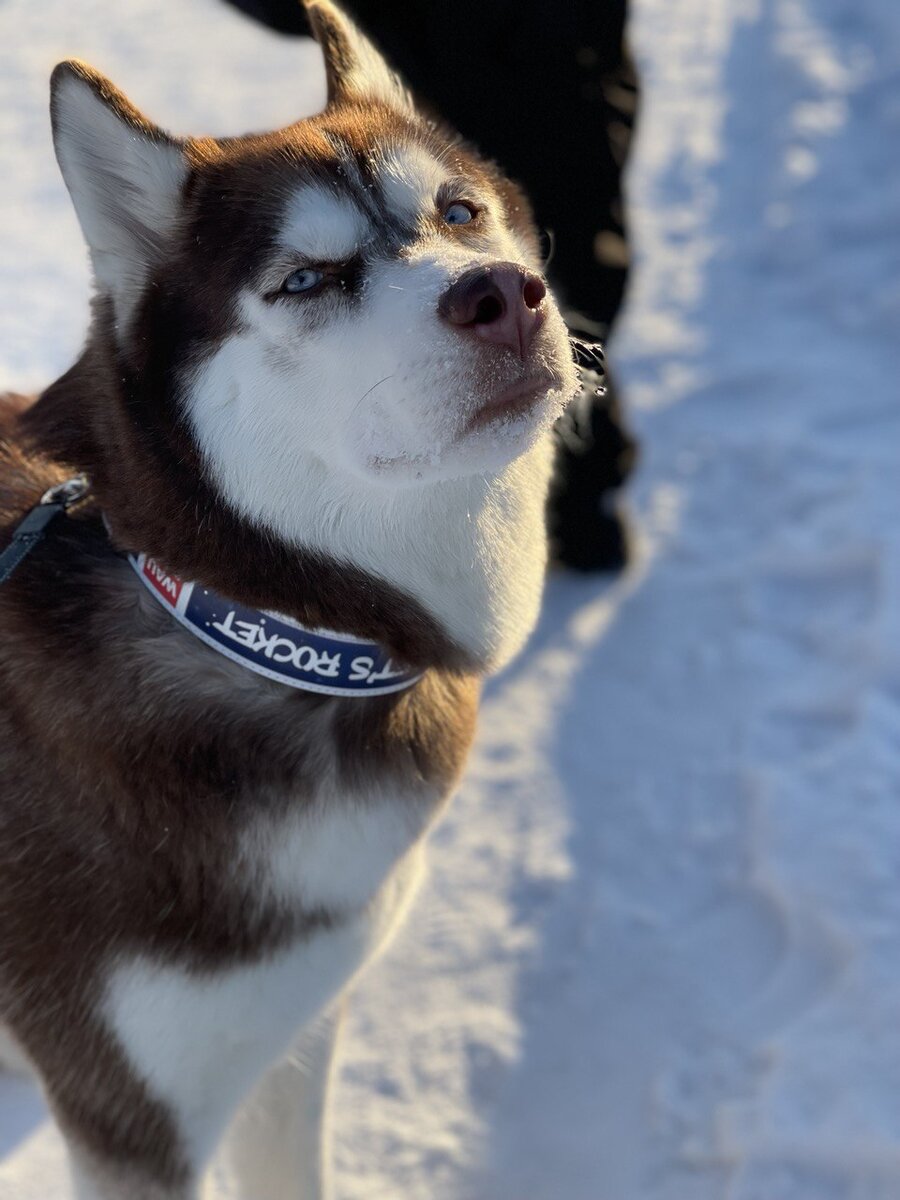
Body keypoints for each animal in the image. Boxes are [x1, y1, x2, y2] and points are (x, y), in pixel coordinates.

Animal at [0, 4, 578, 1195]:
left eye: (459, 212)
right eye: (307, 280)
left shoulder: (296, 1029)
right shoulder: (131, 1120)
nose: (502, 296)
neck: (252, 620)